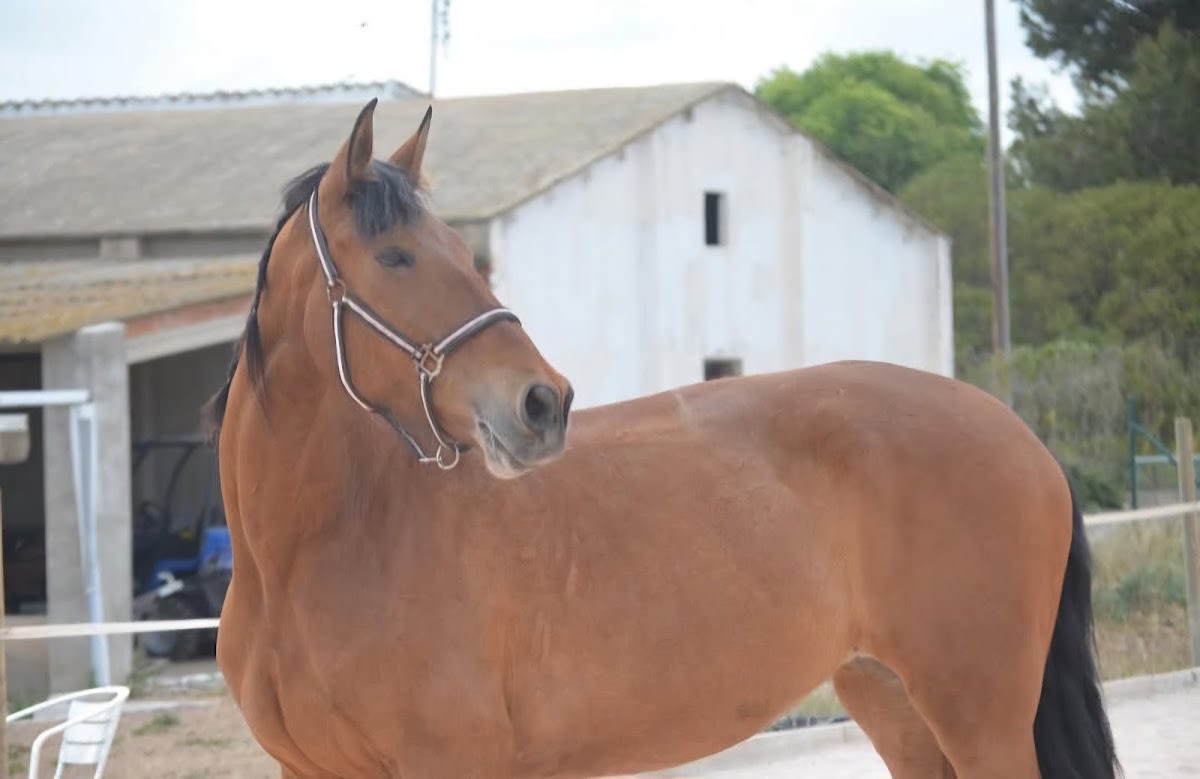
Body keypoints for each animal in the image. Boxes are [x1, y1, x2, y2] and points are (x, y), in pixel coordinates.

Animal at [207, 100, 1120, 779]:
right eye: (395, 257)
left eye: (465, 250)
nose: (542, 402)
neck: (318, 548)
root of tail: (1021, 437)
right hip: (891, 698)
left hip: (979, 714)